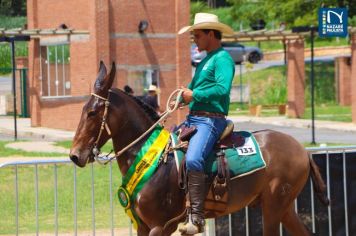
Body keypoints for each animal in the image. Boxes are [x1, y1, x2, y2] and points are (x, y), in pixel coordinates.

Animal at [69, 62, 328, 236]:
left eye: (92, 112)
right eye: (82, 110)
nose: (75, 155)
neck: (153, 161)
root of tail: (302, 150)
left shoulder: (160, 226)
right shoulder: (142, 226)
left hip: (274, 206)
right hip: (283, 208)